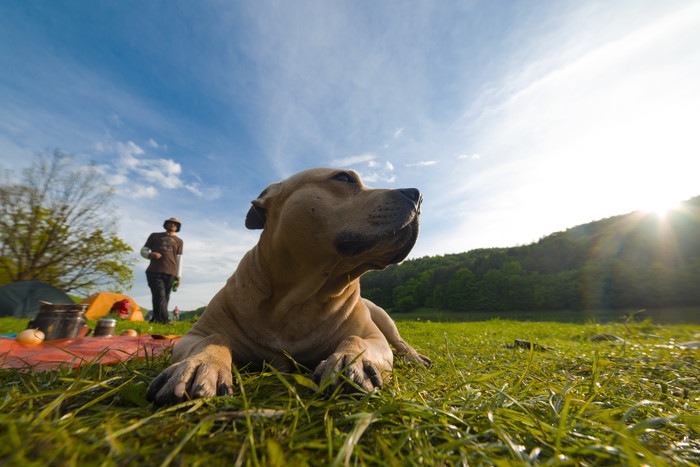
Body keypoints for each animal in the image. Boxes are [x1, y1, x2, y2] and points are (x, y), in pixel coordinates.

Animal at [147, 168, 426, 406]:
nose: (418, 195)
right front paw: (200, 364)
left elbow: (356, 338)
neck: (302, 297)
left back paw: (415, 357)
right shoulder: (195, 335)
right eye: (344, 178)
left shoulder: (374, 338)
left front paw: (349, 360)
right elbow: (214, 337)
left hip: (382, 316)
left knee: (399, 342)